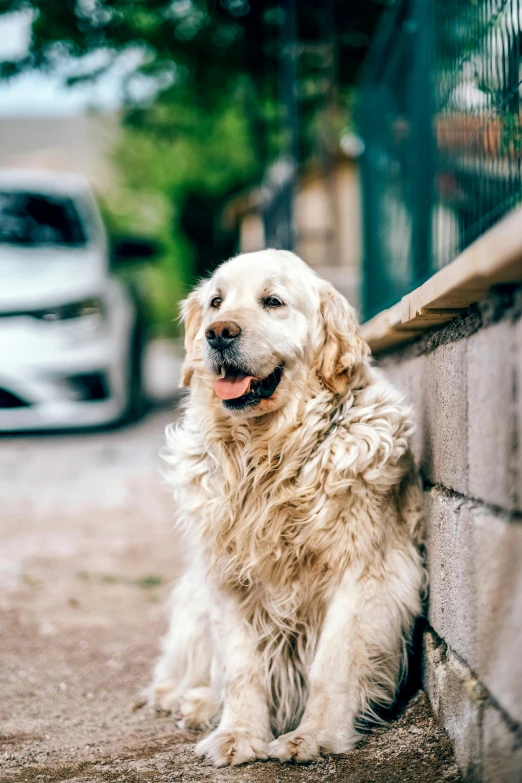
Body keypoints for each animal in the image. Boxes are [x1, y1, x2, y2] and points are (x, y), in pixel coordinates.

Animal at [150, 250, 422, 764]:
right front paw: (238, 734)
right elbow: (240, 668)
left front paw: (313, 736)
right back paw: (190, 701)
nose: (218, 332)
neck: (269, 457)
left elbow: (332, 664)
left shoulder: (364, 571)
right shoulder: (227, 578)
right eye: (216, 302)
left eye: (272, 301)